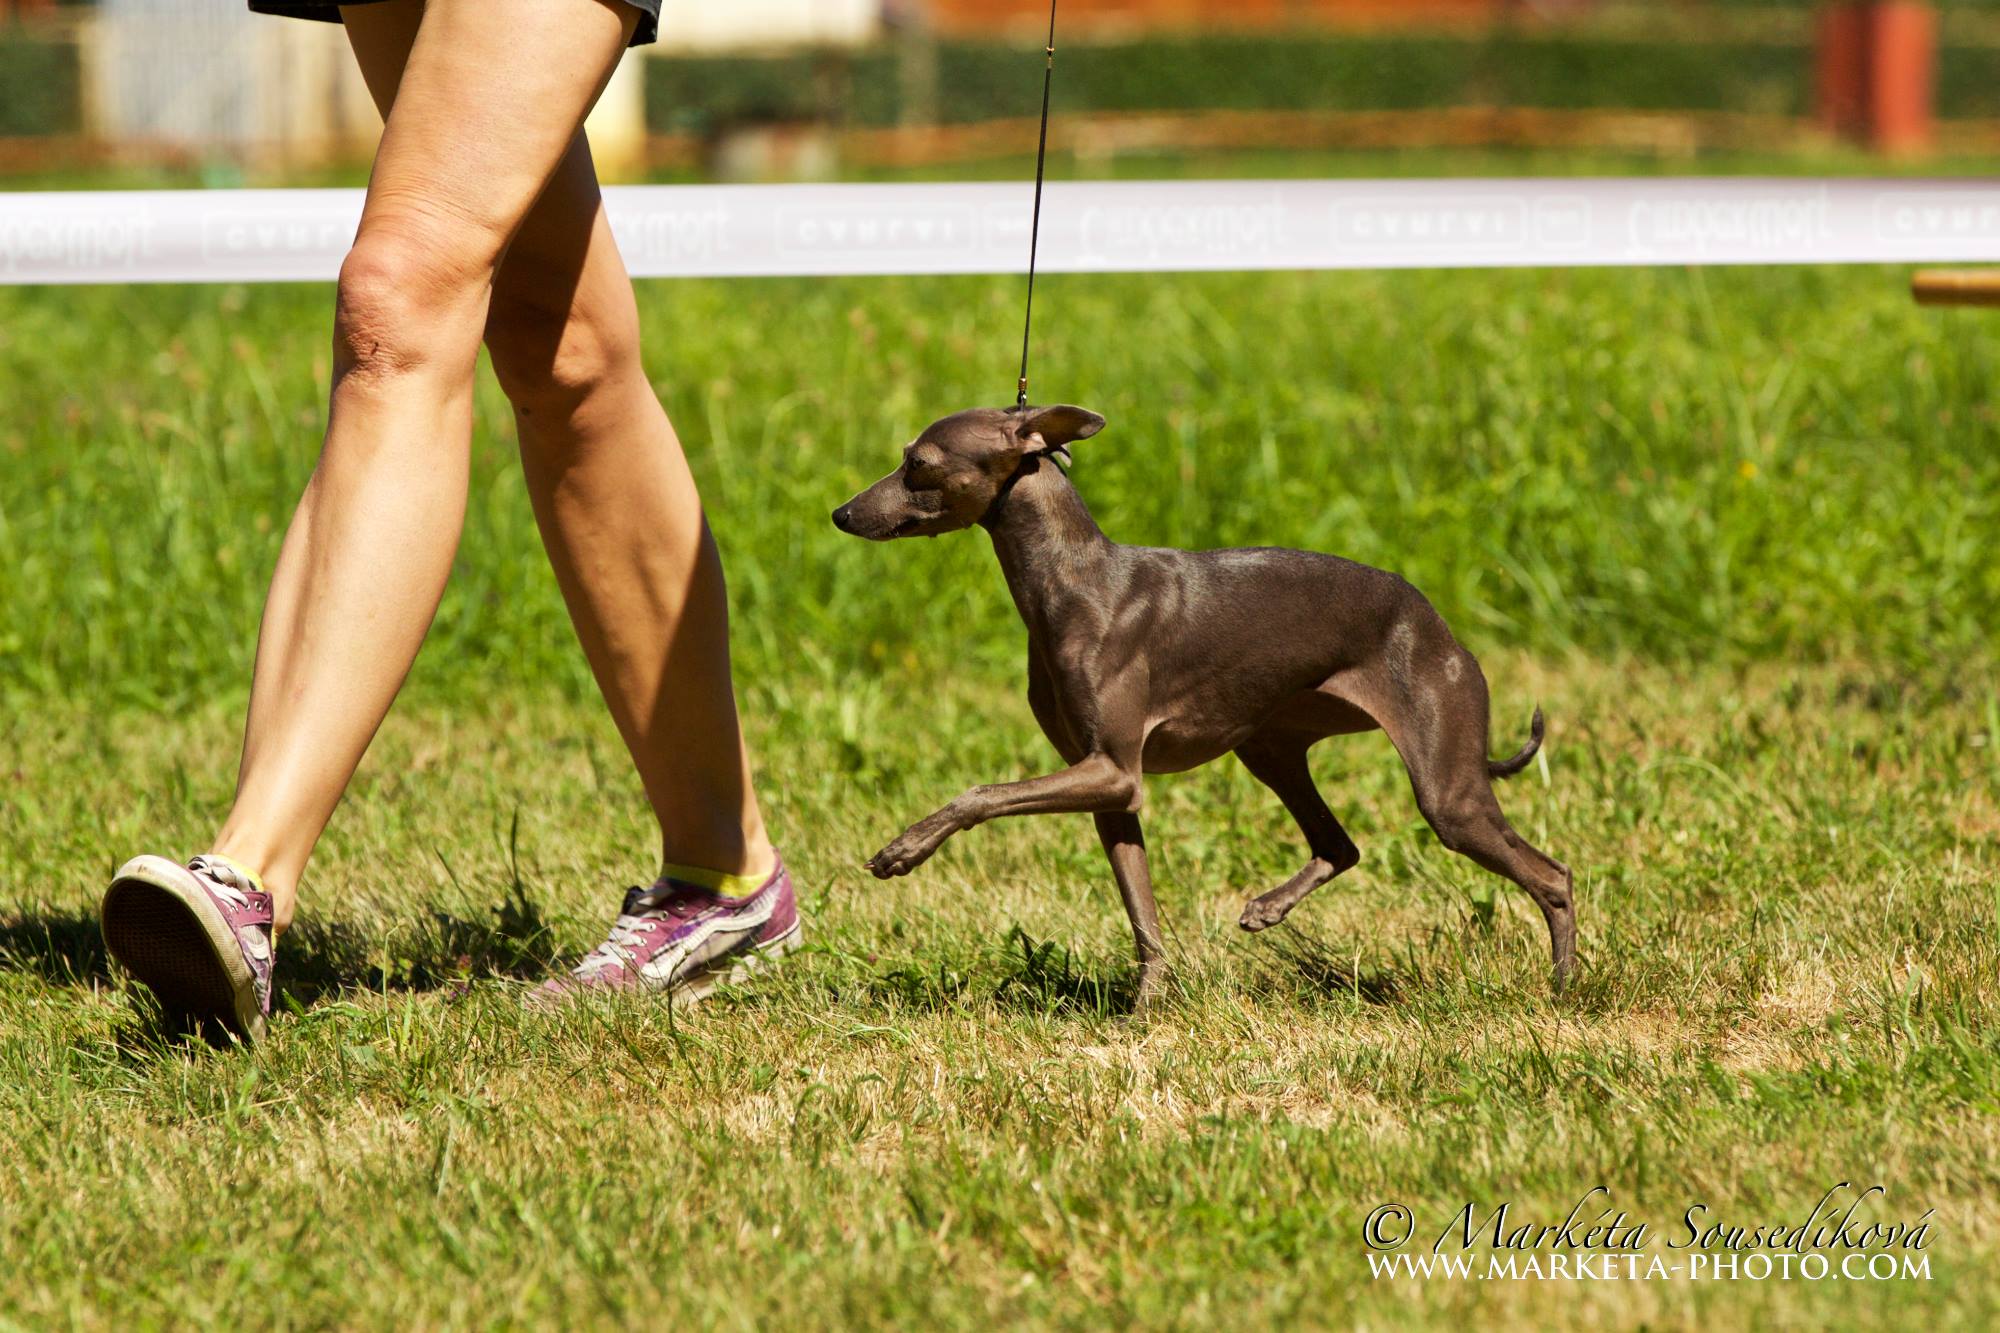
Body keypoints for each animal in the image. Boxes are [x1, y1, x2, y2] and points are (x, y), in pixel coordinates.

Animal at [828, 400, 1576, 1000]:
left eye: (918, 463)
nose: (840, 512)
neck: (1073, 582)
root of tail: (1436, 624)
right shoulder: (1109, 788)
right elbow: (1143, 914)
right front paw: (1147, 1005)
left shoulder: (1111, 771)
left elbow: (978, 792)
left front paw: (904, 848)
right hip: (1270, 746)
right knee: (1340, 844)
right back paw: (1269, 908)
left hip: (1447, 789)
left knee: (1553, 875)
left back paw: (1562, 988)